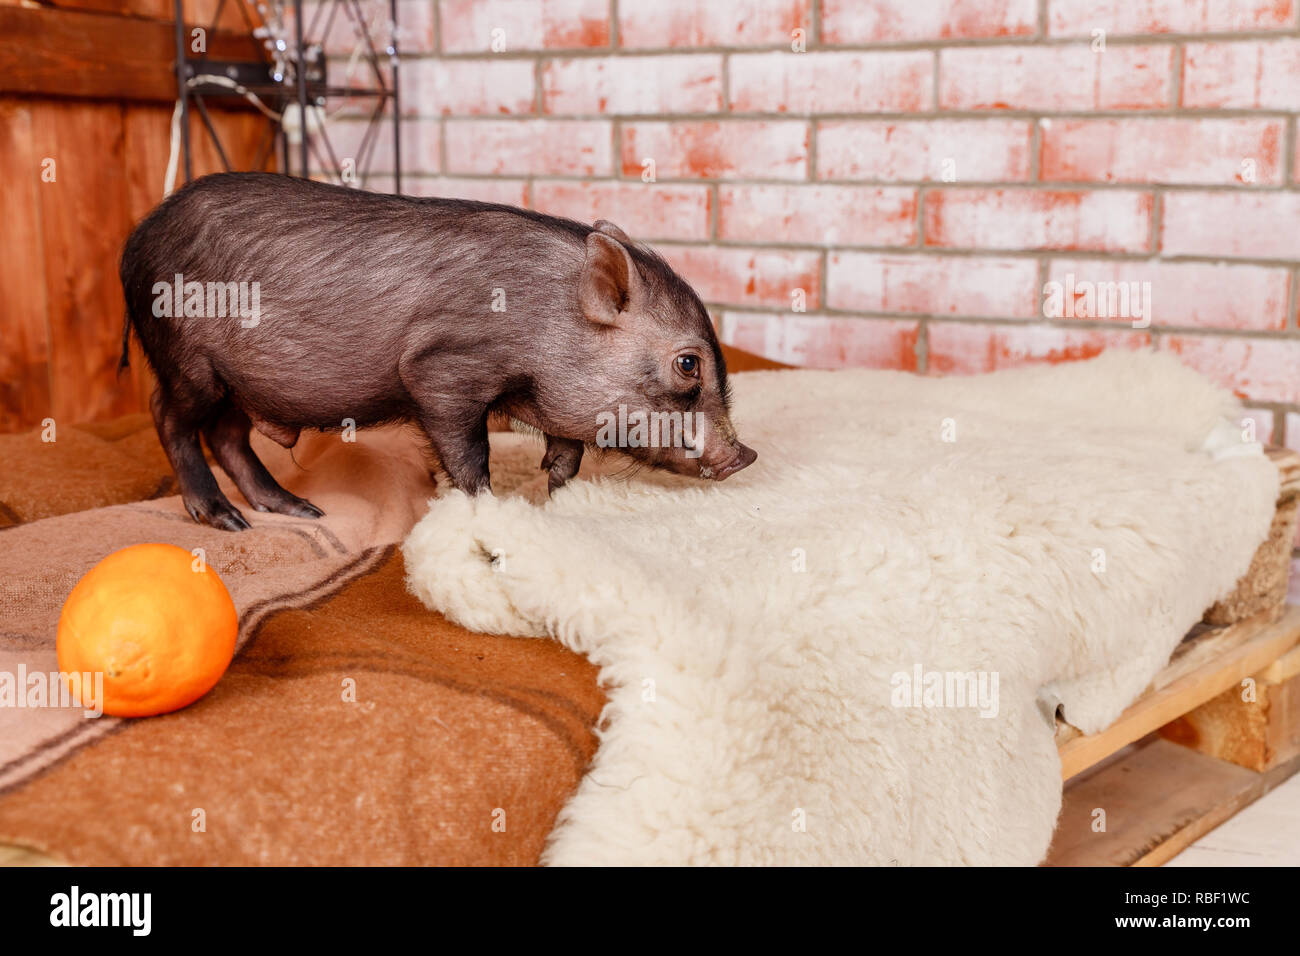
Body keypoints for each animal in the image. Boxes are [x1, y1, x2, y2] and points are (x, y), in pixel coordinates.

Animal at [118, 172, 756, 531]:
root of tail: (132, 243)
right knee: (166, 416)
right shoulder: (441, 371)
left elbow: (567, 453)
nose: (745, 455)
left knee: (227, 435)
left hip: (234, 382)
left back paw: (299, 512)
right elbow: (470, 454)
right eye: (688, 363)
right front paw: (486, 509)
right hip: (188, 364)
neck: (548, 324)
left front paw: (559, 497)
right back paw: (224, 522)